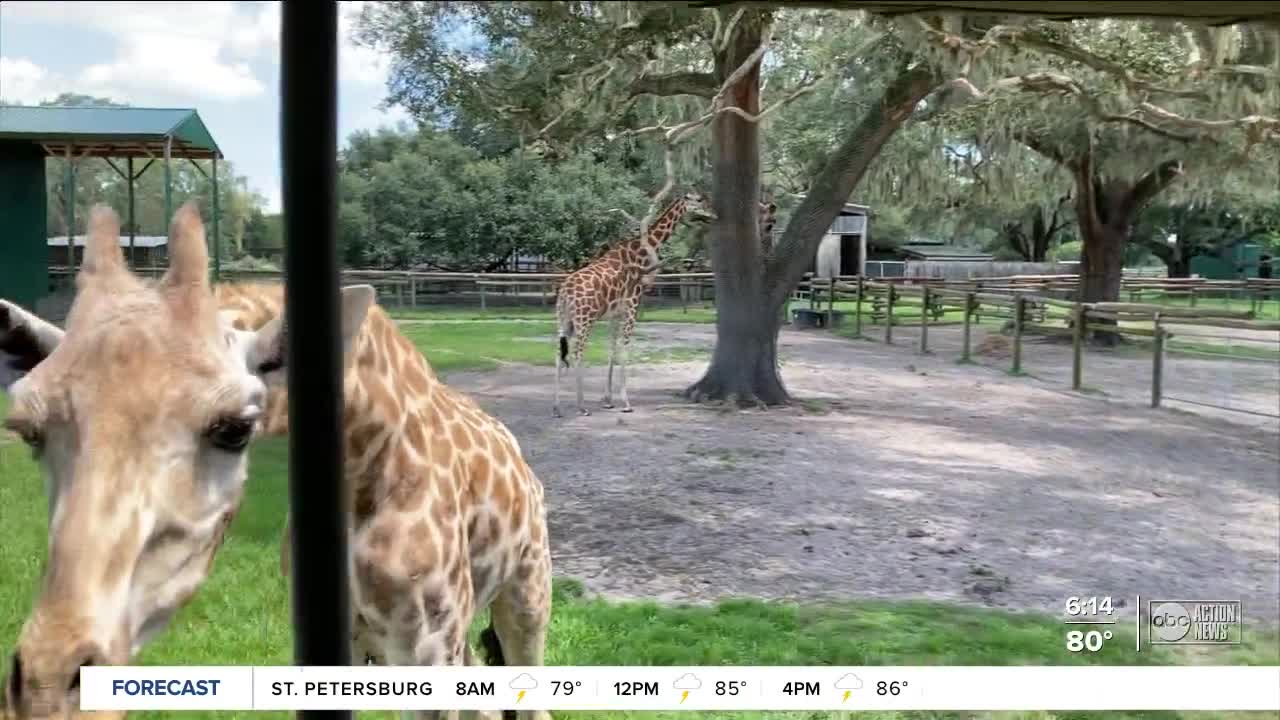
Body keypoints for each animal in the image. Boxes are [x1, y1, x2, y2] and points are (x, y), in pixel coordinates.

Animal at [553, 191, 715, 417]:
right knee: (577, 353)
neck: (641, 253)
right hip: (584, 319)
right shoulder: (632, 305)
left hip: (564, 319)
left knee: (559, 354)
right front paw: (626, 403)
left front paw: (608, 400)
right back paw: (582, 406)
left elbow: (611, 349)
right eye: (699, 199)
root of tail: (565, 293)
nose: (713, 214)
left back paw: (557, 408)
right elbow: (625, 349)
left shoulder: (615, 314)